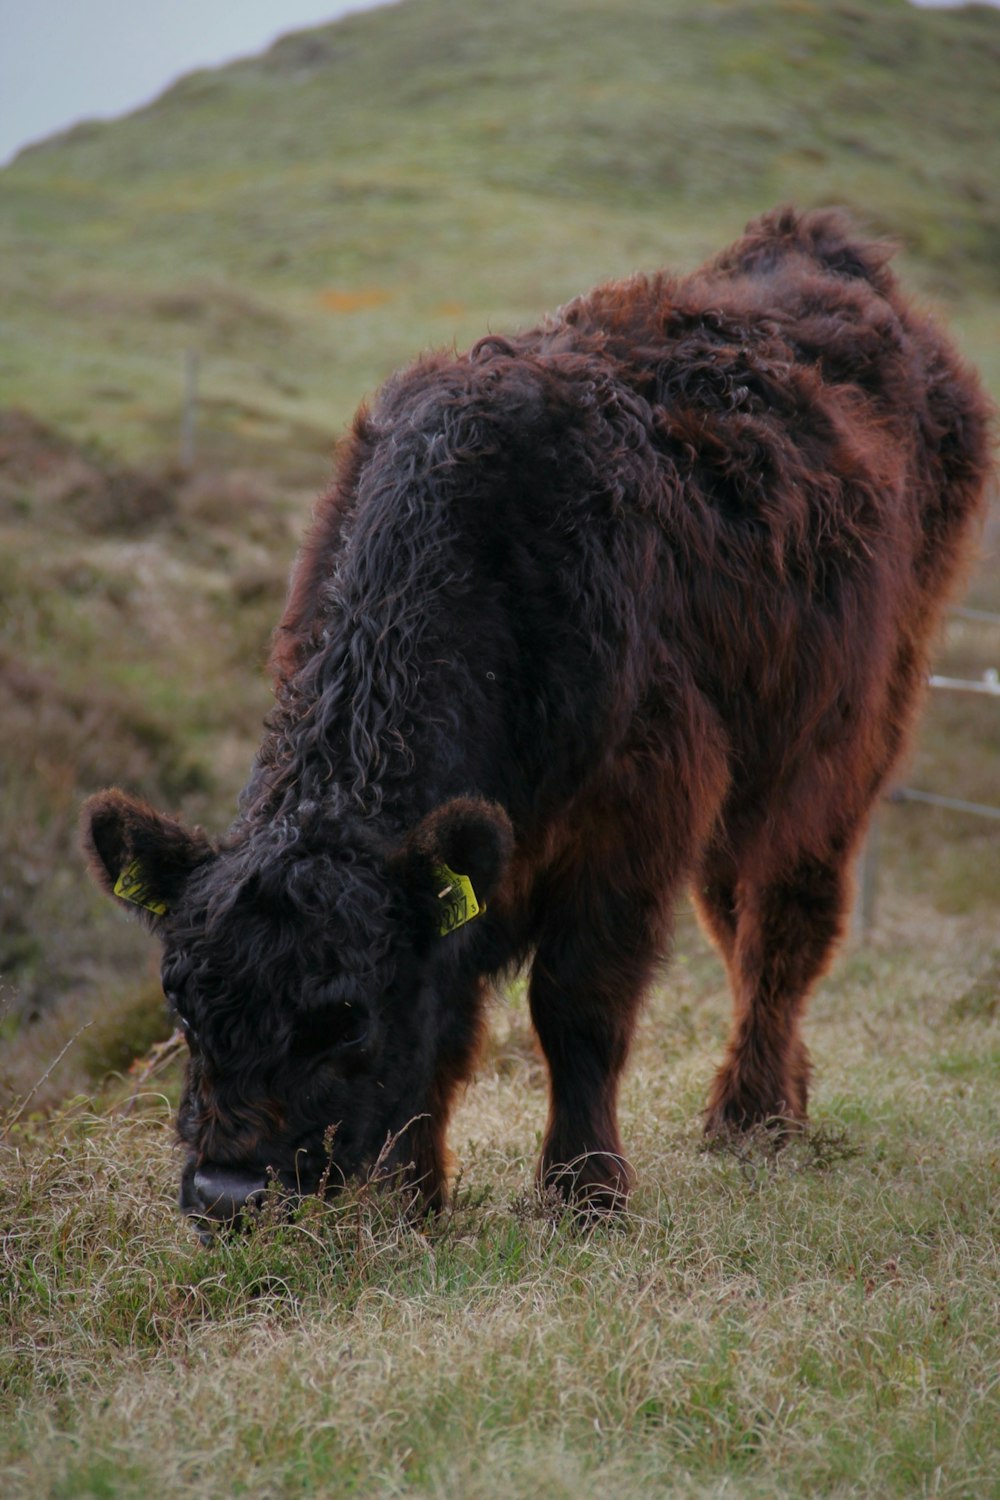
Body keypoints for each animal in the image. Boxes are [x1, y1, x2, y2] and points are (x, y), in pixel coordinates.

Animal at [82, 205, 989, 1224]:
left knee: (786, 923)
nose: (228, 1189)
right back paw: (781, 1101)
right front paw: (413, 1200)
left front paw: (583, 1191)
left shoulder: (634, 817)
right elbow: (449, 1025)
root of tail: (820, 244)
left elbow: (576, 1006)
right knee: (734, 916)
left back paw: (751, 1117)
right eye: (182, 1001)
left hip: (850, 739)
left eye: (345, 1015)